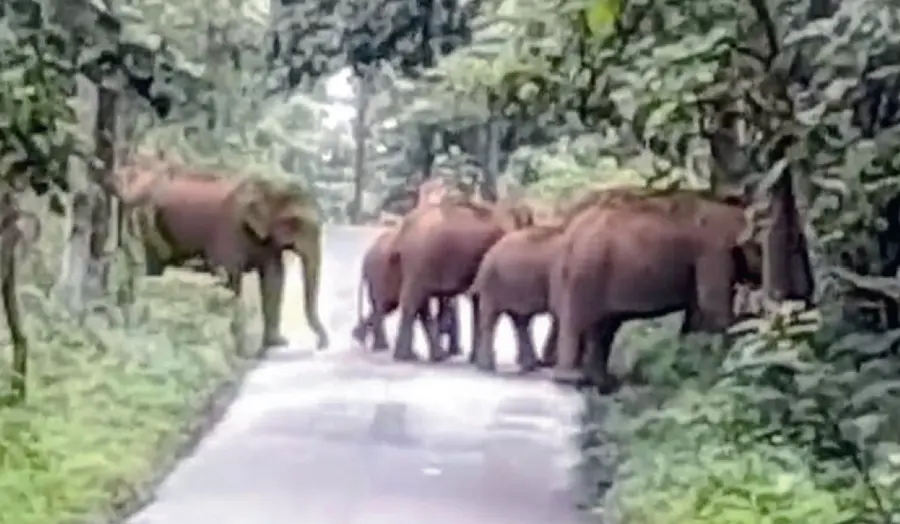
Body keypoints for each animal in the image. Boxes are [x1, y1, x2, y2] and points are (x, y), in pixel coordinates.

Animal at [117, 162, 329, 351]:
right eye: (295, 222)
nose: (321, 345)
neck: (267, 184)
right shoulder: (229, 228)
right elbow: (229, 276)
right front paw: (236, 344)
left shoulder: (266, 239)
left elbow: (274, 277)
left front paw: (277, 343)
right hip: (147, 222)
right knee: (155, 266)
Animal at [389, 197, 535, 362]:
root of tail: (405, 224)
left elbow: (478, 303)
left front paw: (474, 358)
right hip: (418, 260)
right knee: (413, 302)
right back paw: (405, 356)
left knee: (420, 304)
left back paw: (433, 355)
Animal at [468, 224, 565, 373]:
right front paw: (551, 363)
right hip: (493, 285)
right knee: (491, 319)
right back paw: (487, 367)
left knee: (520, 320)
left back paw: (529, 366)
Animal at [549, 188, 789, 392]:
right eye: (760, 248)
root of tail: (569, 234)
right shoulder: (713, 253)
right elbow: (713, 307)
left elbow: (695, 313)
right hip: (587, 271)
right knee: (581, 323)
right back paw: (571, 379)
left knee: (602, 328)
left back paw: (603, 383)